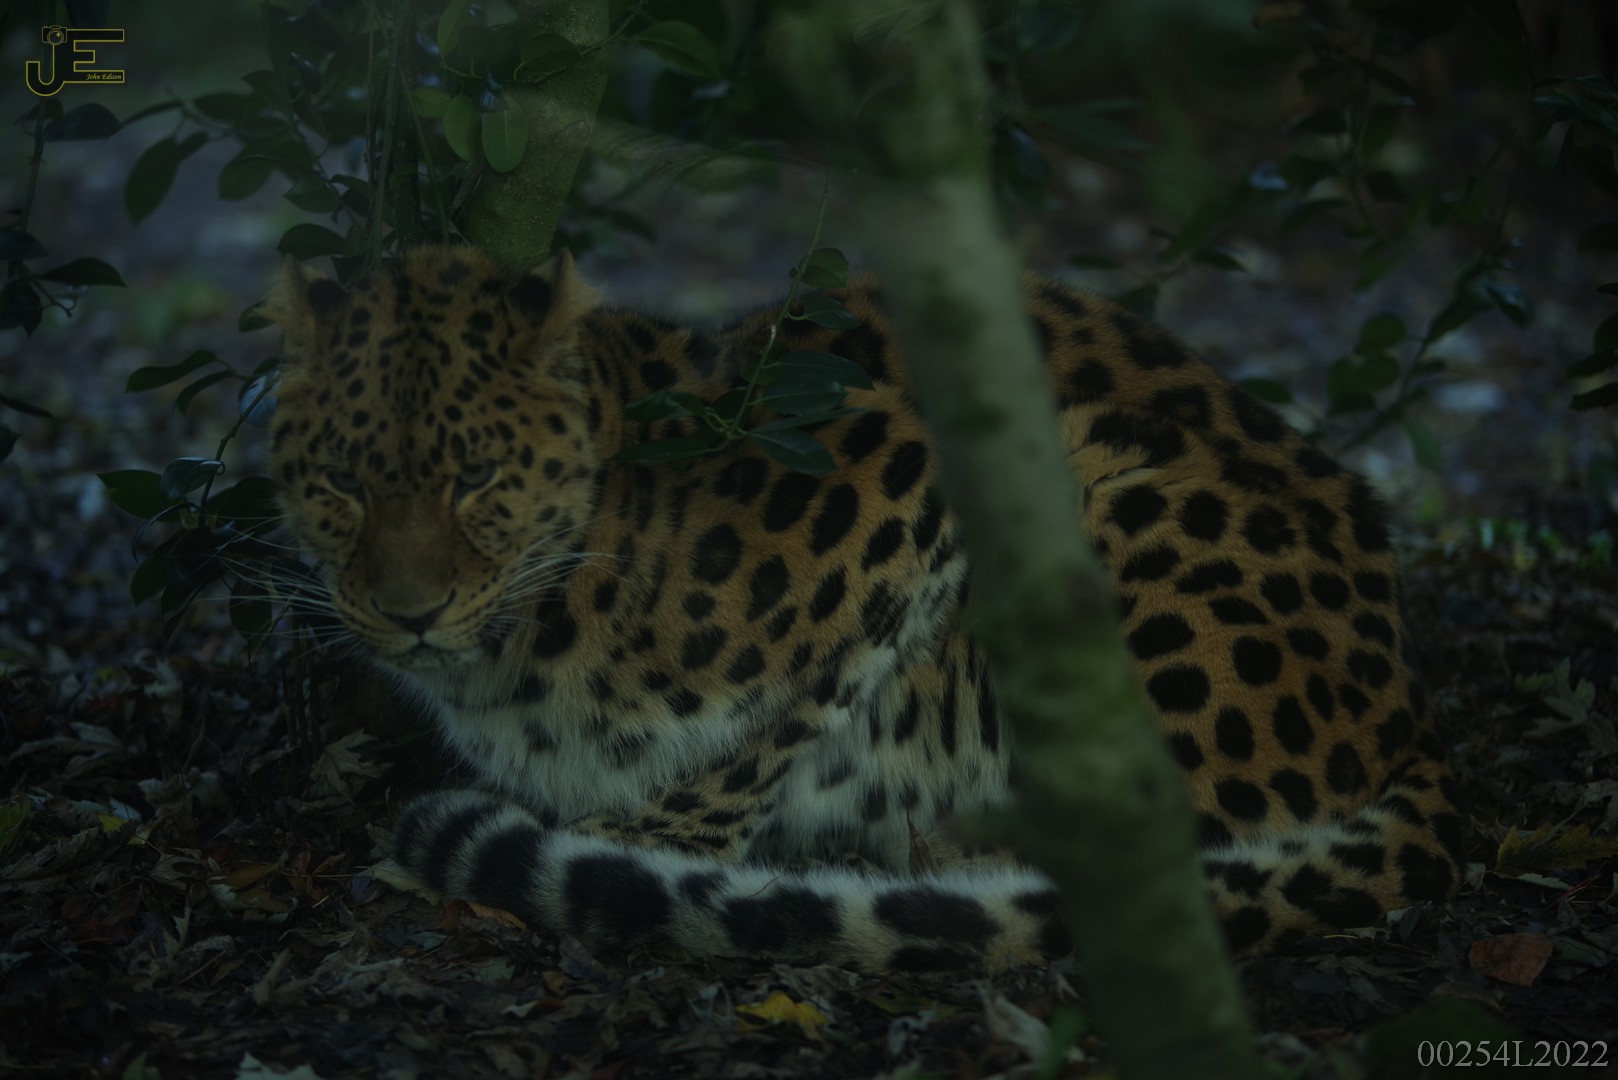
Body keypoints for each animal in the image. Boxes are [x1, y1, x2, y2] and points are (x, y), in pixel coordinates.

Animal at [264, 243, 1463, 972]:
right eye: (341, 483)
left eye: (474, 477)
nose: (409, 613)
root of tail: (1413, 710)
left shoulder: (902, 472)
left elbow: (783, 711)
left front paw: (653, 840)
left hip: (1102, 496)